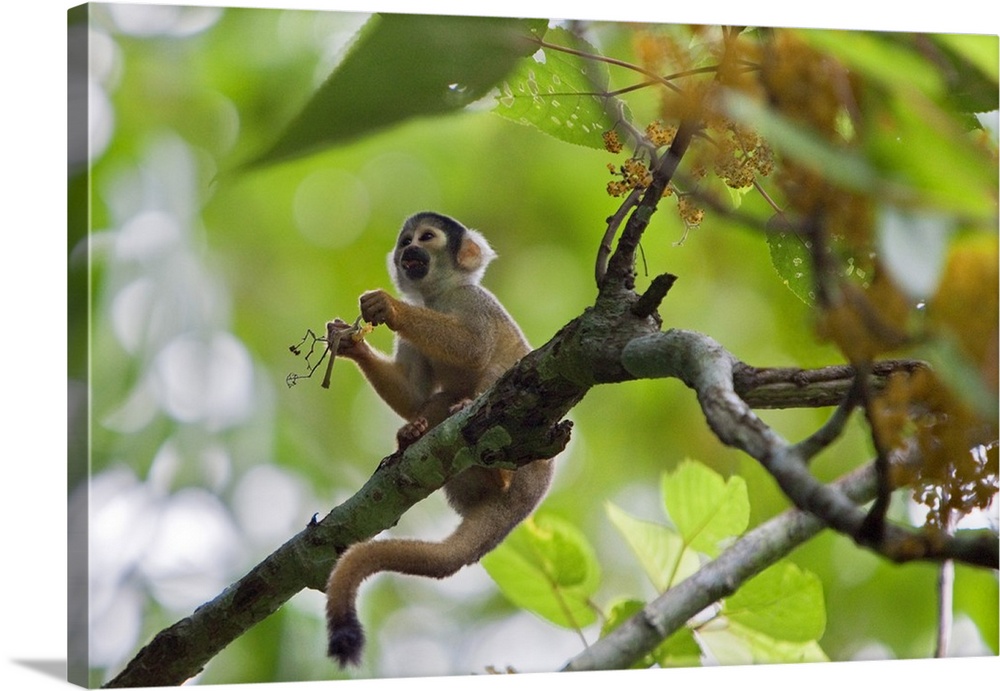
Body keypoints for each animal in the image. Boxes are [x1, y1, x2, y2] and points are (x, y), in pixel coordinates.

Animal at [322, 212, 552, 672]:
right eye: (405, 241)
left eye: (426, 238)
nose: (409, 251)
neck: (438, 296)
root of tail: (524, 504)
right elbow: (413, 393)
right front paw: (350, 342)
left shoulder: (475, 300)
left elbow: (475, 347)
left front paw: (389, 307)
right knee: (438, 400)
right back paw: (416, 435)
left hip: (532, 463)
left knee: (493, 373)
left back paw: (494, 462)